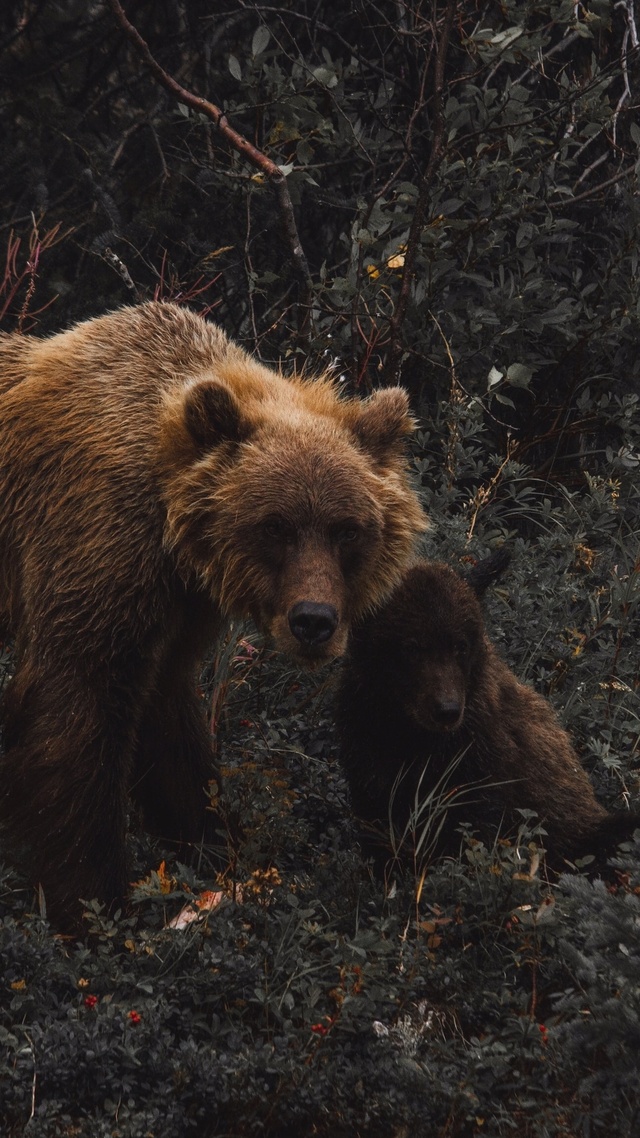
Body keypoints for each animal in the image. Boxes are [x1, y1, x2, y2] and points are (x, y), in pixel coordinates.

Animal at [1, 300, 428, 924]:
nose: (314, 621)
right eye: (275, 525)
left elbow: (169, 725)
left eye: (347, 529)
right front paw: (94, 903)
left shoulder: (180, 607)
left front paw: (223, 849)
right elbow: (75, 712)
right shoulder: (93, 543)